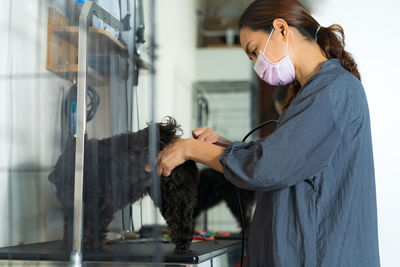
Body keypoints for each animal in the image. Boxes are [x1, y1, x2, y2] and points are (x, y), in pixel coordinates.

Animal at [48, 118, 198, 253]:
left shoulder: (98, 207)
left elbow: (92, 228)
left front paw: (88, 246)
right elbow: (72, 226)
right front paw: (69, 246)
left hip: (174, 197)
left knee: (182, 221)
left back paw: (182, 245)